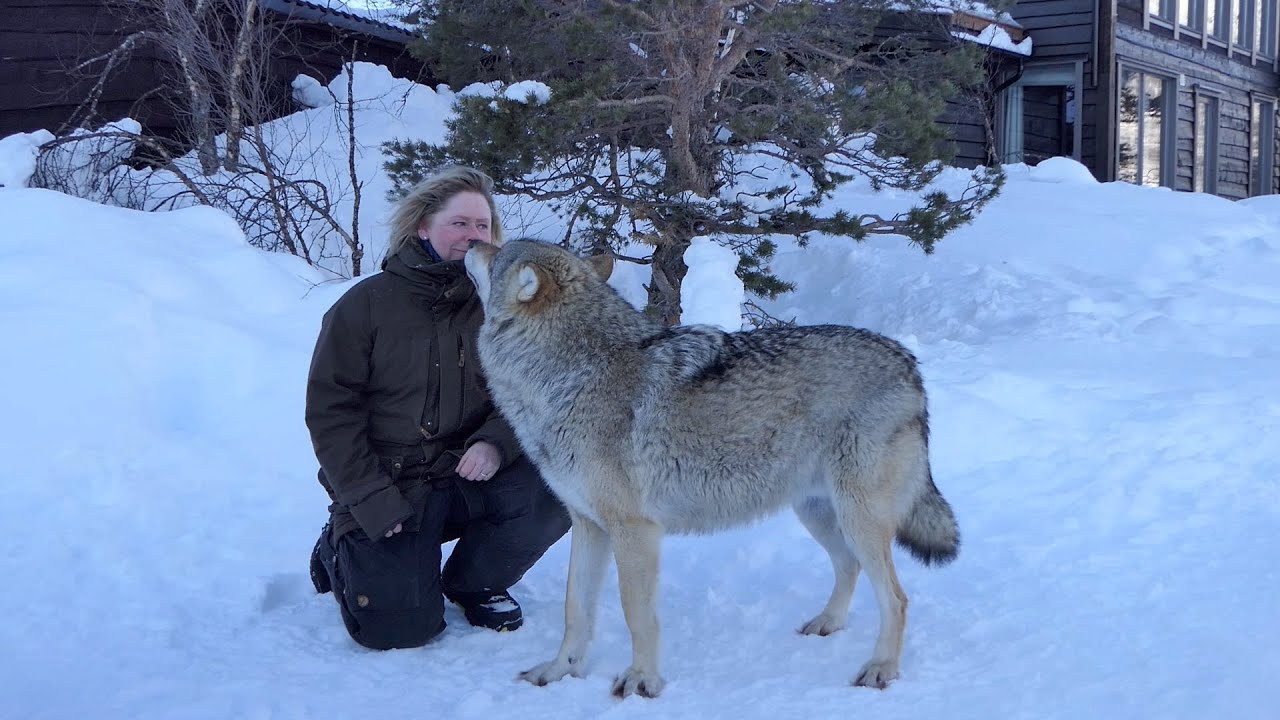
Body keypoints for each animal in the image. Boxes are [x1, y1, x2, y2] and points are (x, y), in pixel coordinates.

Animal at [464, 240, 959, 698]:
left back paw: (881, 669)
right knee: (849, 567)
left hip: (858, 520)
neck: (569, 375)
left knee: (896, 598)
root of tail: (907, 362)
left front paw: (641, 681)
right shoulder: (588, 526)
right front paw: (557, 672)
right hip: (819, 514)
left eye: (498, 251)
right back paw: (827, 624)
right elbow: (575, 611)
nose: (470, 242)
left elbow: (636, 615)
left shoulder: (635, 531)